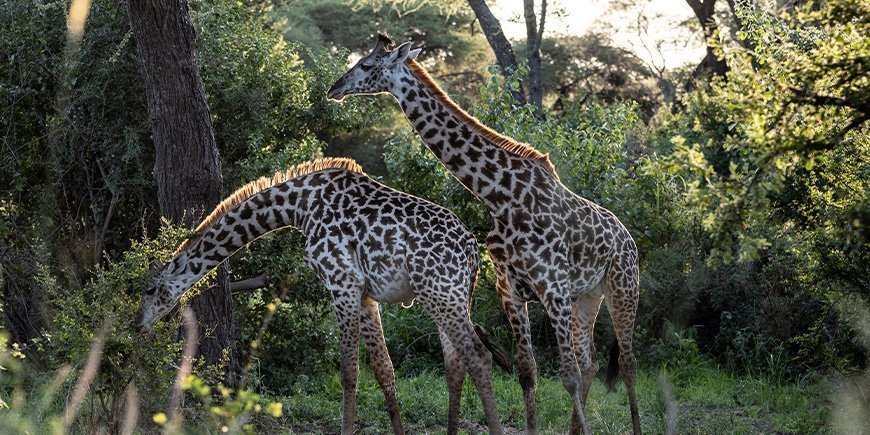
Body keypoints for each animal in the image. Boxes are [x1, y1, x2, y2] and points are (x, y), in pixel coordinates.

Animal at [134, 158, 504, 435]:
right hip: (451, 297)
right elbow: (384, 370)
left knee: (479, 357)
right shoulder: (365, 294)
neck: (298, 207)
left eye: (150, 289)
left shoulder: (341, 282)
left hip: (440, 295)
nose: (138, 324)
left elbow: (348, 372)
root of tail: (474, 253)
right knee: (455, 365)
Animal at [327, 34, 642, 435]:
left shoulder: (551, 284)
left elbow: (566, 375)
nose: (333, 89)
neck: (499, 196)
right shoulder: (511, 289)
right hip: (587, 296)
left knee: (627, 364)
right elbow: (528, 373)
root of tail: (628, 238)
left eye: (366, 65)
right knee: (591, 362)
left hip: (622, 287)